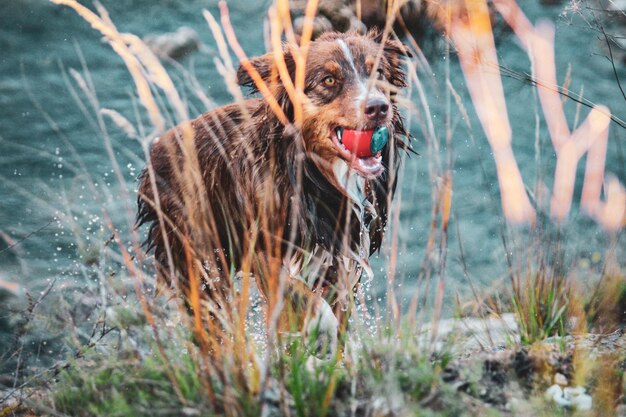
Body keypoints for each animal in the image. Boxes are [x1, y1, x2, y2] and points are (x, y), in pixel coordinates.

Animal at [135, 30, 410, 354]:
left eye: (378, 73)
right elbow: (302, 297)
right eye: (328, 80)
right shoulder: (267, 249)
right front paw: (319, 329)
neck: (316, 178)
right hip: (197, 254)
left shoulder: (343, 255)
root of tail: (155, 152)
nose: (379, 107)